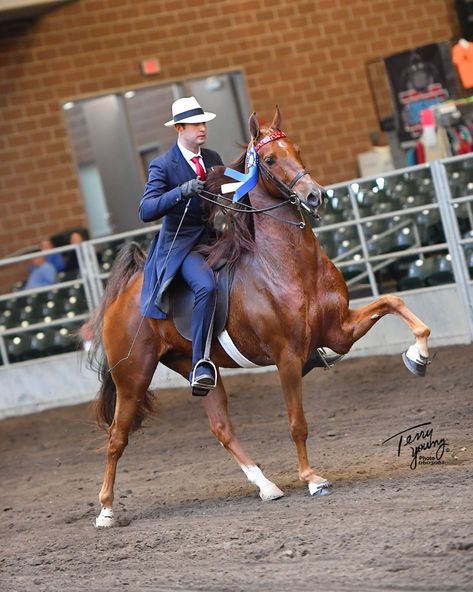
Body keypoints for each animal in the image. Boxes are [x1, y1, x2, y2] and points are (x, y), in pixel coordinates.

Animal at [90, 110, 430, 528]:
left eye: (296, 148)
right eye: (269, 159)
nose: (314, 196)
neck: (289, 264)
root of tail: (122, 296)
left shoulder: (338, 333)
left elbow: (393, 302)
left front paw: (418, 356)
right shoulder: (287, 357)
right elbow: (297, 422)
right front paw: (312, 478)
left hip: (195, 367)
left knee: (220, 427)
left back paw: (267, 486)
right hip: (133, 379)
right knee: (116, 438)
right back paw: (106, 510)